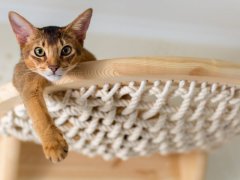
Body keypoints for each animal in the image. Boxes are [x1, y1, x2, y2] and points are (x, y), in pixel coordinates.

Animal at [8, 8, 96, 162]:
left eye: (66, 50)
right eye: (39, 51)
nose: (54, 67)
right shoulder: (23, 75)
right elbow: (38, 113)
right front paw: (54, 145)